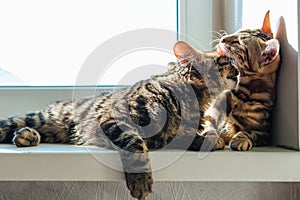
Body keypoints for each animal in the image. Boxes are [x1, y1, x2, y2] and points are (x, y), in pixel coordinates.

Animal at [0, 11, 280, 200]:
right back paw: (24, 133)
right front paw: (140, 181)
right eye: (224, 60)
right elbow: (135, 145)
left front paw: (211, 139)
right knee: (12, 123)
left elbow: (191, 135)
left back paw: (26, 138)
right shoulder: (117, 119)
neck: (193, 102)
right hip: (38, 118)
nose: (238, 72)